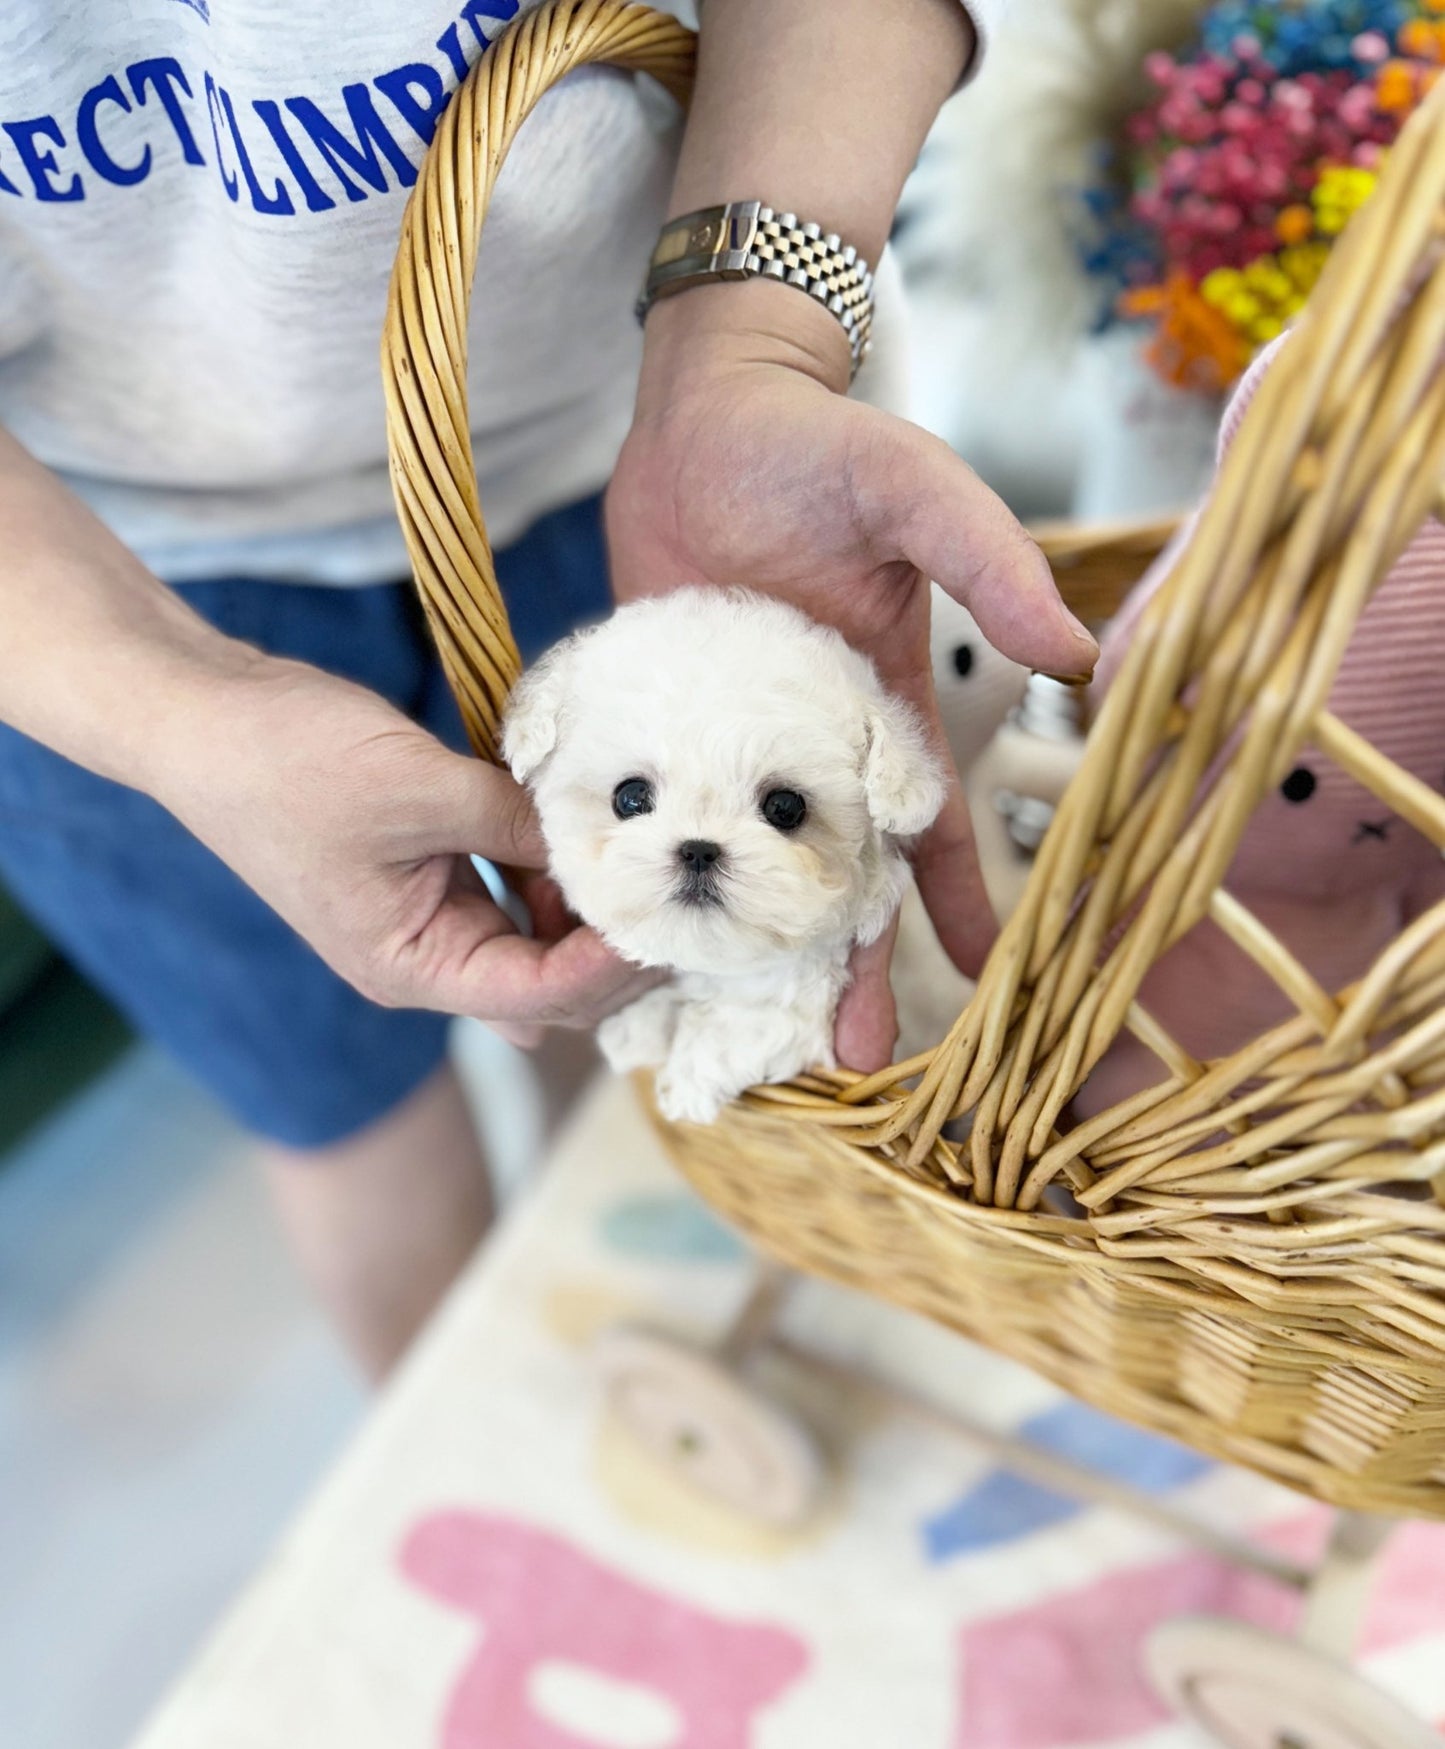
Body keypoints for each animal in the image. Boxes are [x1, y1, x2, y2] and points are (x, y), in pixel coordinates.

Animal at [500, 587, 937, 1126]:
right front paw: (634, 1029)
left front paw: (686, 1079)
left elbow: (749, 1026)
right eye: (630, 797)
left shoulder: (806, 996)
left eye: (785, 807)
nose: (698, 850)